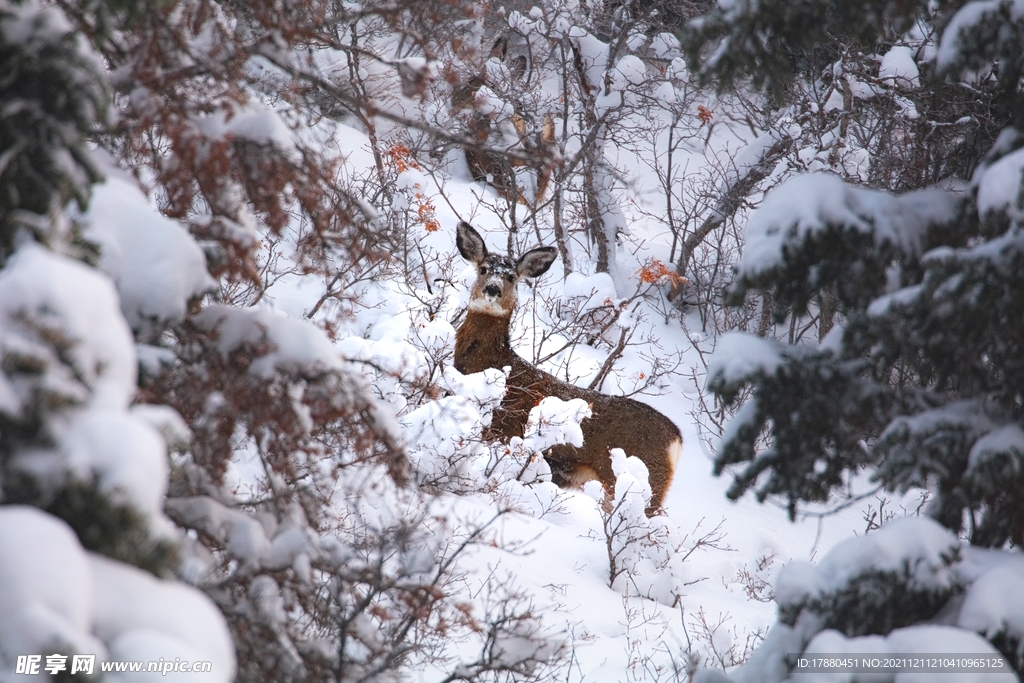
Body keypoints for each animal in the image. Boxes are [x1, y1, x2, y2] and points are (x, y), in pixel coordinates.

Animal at [454, 223, 679, 511]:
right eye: (483, 269)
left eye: (512, 277)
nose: (492, 289)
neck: (491, 365)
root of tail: (676, 439)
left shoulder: (501, 431)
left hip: (639, 484)